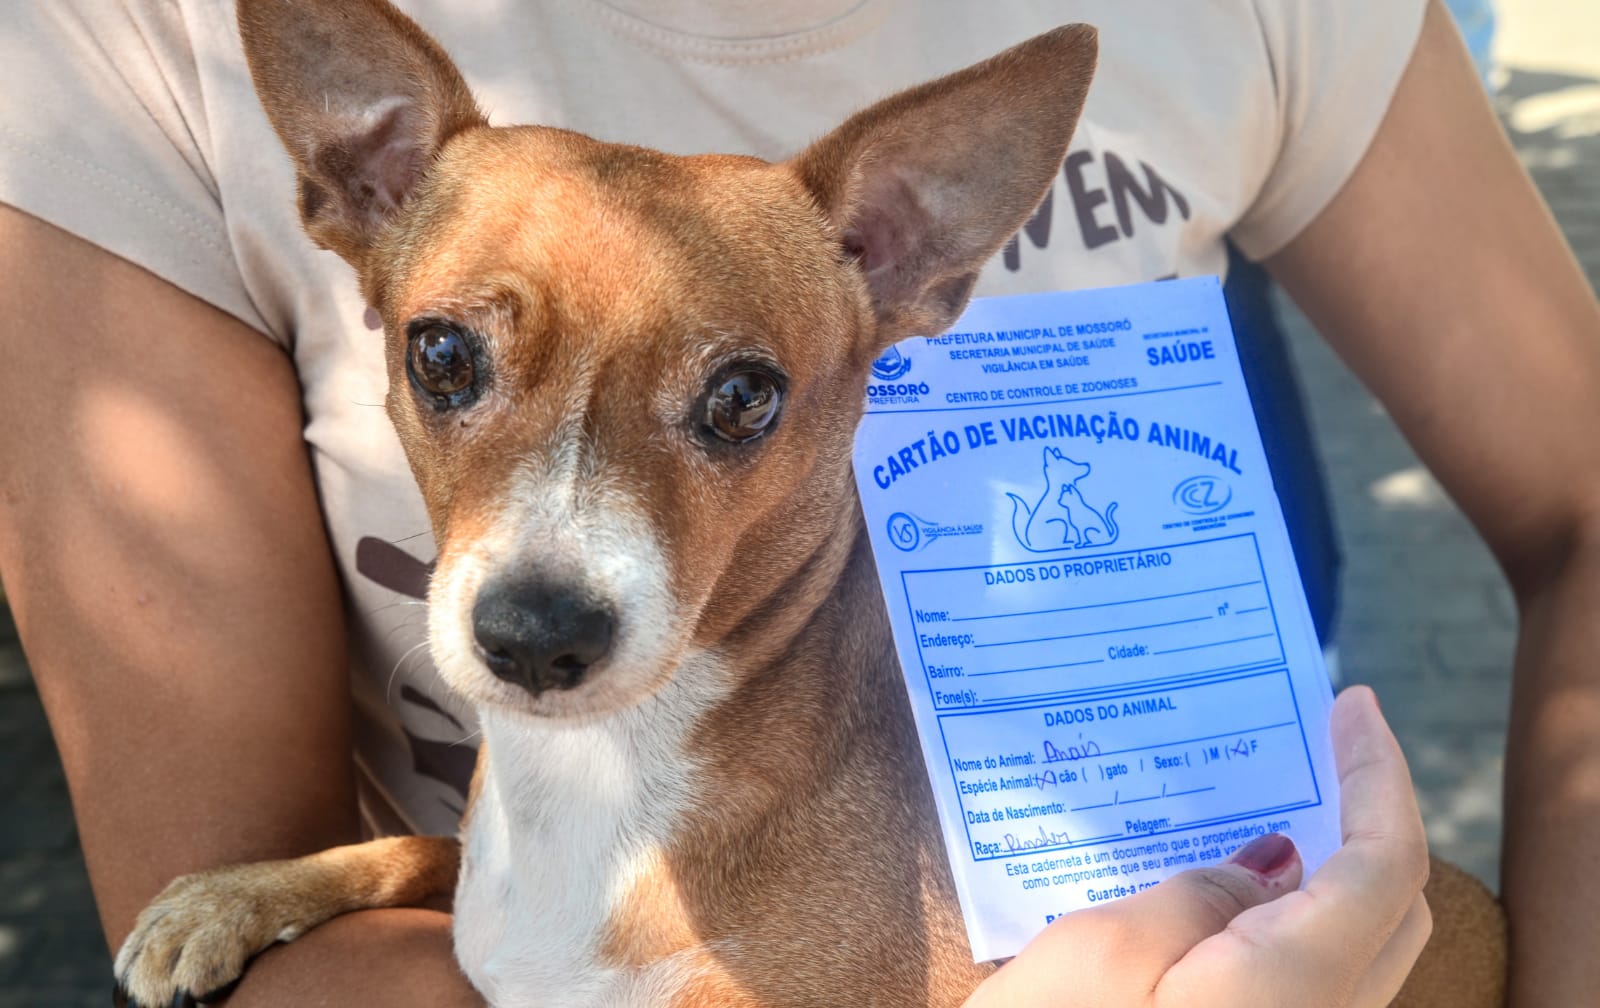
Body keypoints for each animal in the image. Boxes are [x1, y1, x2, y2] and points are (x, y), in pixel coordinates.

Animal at [109, 1, 1497, 1008]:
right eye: (439, 354)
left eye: (743, 397)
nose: (536, 635)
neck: (601, 791)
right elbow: (425, 850)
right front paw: (231, 895)